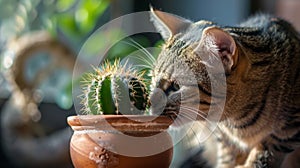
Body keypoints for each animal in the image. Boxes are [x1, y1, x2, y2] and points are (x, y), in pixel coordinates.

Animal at [149, 8, 300, 168]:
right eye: (152, 78)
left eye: (176, 86)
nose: (149, 103)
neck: (236, 122)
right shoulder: (222, 137)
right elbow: (227, 158)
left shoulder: (287, 131)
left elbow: (265, 153)